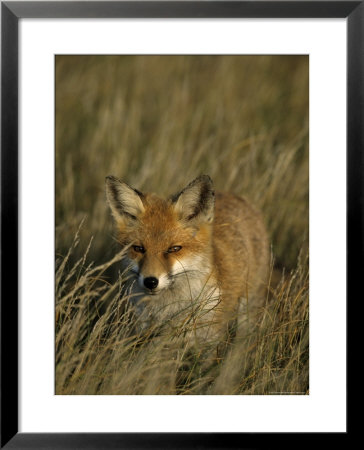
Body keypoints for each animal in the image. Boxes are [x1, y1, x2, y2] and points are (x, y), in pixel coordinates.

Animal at [104, 176, 268, 342]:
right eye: (138, 249)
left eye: (174, 249)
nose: (150, 282)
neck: (170, 309)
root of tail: (236, 196)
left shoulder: (210, 338)